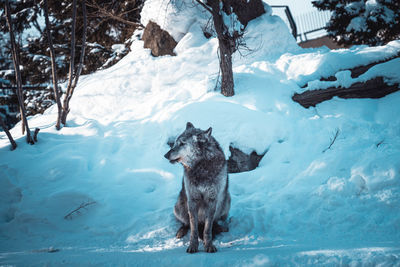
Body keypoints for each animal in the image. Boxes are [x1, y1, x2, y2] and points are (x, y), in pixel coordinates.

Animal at [163, 122, 231, 254]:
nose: (165, 155)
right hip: (179, 205)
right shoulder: (192, 200)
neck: (201, 167)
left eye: (182, 143)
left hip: (226, 202)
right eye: (175, 143)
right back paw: (181, 231)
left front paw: (209, 245)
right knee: (186, 223)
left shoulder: (212, 200)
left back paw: (221, 227)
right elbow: (193, 228)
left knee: (214, 221)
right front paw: (193, 246)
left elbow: (208, 228)